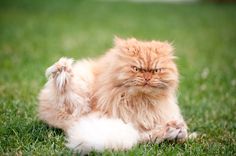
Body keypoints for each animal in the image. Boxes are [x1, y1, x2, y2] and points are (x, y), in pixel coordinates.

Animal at [39, 36, 189, 154]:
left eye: (156, 71)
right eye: (136, 69)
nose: (147, 78)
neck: (141, 102)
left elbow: (155, 135)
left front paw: (176, 131)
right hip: (77, 96)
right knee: (67, 92)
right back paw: (62, 70)